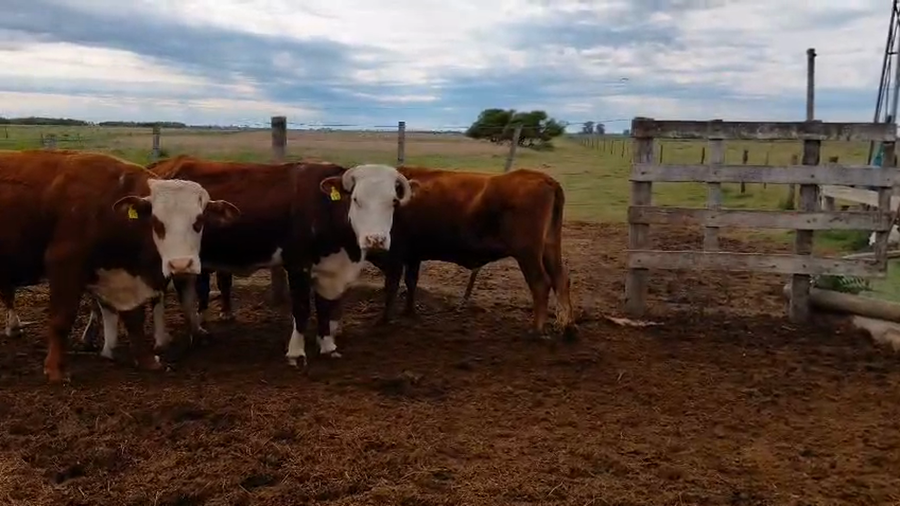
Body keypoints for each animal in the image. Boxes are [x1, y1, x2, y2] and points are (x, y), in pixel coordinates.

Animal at [0, 149, 240, 382]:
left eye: (199, 221)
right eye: (157, 222)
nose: (180, 264)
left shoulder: (125, 277)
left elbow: (134, 319)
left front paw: (146, 361)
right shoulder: (64, 265)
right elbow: (62, 319)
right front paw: (55, 370)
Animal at [82, 155, 419, 367]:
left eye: (392, 201)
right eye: (357, 200)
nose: (375, 239)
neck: (322, 208)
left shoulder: (330, 270)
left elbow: (325, 309)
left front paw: (328, 346)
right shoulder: (297, 264)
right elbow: (301, 309)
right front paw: (296, 353)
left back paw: (195, 333)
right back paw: (150, 339)